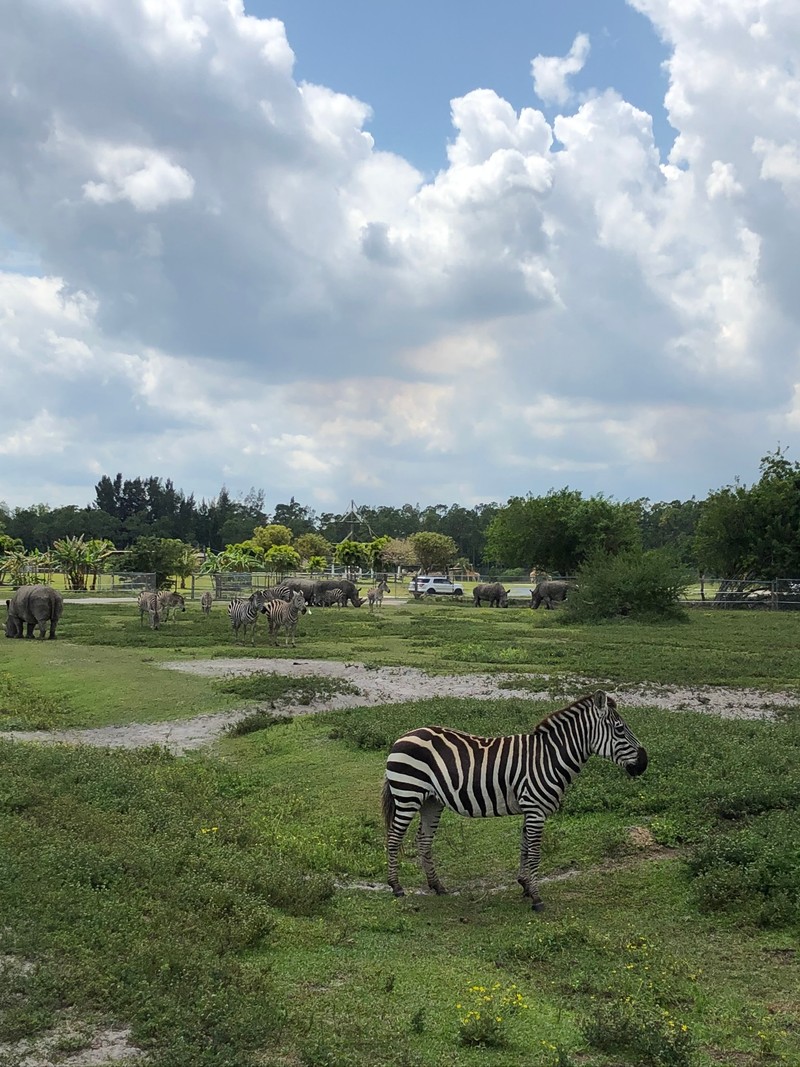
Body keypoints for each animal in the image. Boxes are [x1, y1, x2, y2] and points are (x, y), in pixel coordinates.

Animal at [379, 691, 648, 909]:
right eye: (620, 729)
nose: (644, 763)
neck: (549, 757)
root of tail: (403, 736)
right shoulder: (536, 808)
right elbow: (535, 852)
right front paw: (537, 898)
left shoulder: (530, 808)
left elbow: (524, 846)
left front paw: (525, 886)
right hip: (408, 794)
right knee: (393, 837)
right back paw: (396, 887)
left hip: (432, 801)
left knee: (423, 840)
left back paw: (437, 886)